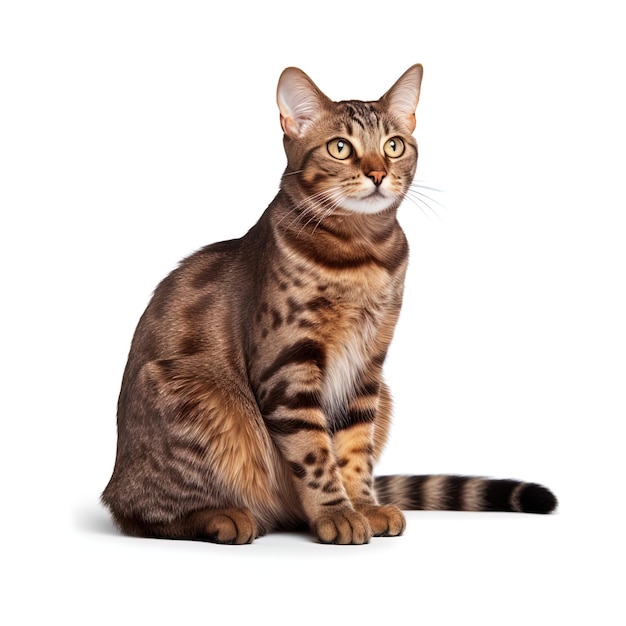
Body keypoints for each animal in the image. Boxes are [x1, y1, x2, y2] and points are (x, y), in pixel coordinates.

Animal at [102, 63, 556, 540]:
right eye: (340, 147)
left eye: (394, 146)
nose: (377, 173)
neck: (362, 254)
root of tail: (114, 481)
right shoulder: (289, 364)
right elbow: (314, 452)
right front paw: (336, 513)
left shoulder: (368, 364)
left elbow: (353, 447)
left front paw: (363, 505)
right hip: (200, 397)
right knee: (145, 514)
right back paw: (223, 516)